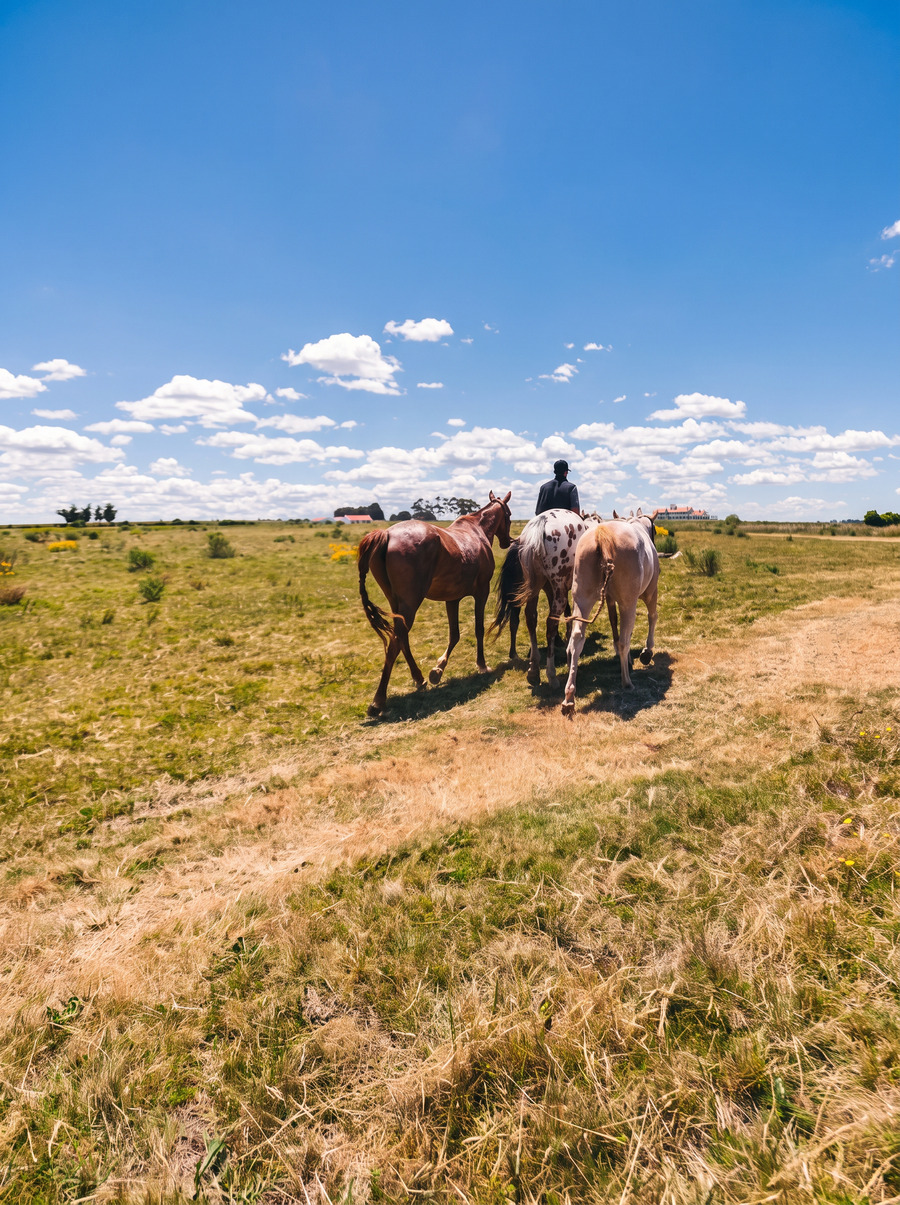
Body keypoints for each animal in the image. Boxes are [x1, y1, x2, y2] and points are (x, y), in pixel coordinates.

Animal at [358, 491, 512, 716]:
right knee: (396, 642)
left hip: (398, 605)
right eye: (509, 515)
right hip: (410, 605)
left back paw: (419, 678)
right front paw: (482, 665)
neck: (477, 531)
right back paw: (378, 700)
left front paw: (438, 670)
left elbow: (454, 634)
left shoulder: (452, 598)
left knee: (402, 639)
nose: (508, 542)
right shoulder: (481, 593)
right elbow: (479, 629)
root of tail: (386, 535)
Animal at [499, 509, 602, 687]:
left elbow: (567, 615)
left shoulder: (550, 589)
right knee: (551, 623)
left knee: (531, 618)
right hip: (557, 590)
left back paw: (534, 669)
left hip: (535, 587)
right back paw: (551, 674)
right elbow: (571, 615)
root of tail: (541, 523)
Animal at [561, 509, 660, 717]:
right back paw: (627, 682)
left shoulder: (610, 600)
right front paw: (646, 652)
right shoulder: (650, 592)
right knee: (624, 640)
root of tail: (602, 534)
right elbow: (651, 617)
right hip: (629, 602)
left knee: (576, 639)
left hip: (582, 597)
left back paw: (569, 696)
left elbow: (615, 625)